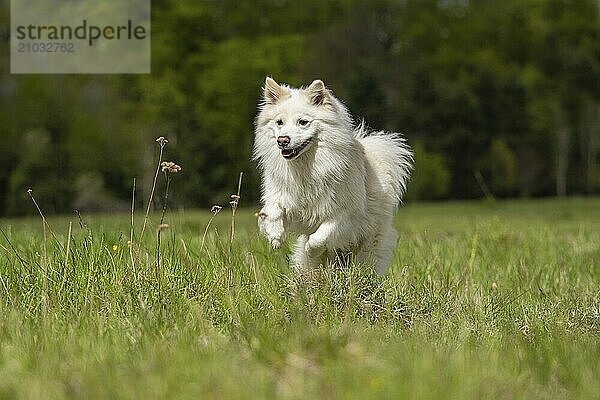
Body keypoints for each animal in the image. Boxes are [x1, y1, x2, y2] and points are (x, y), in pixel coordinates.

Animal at [253, 76, 412, 274]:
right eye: (279, 122)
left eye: (303, 122)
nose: (282, 141)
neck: (305, 167)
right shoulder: (284, 198)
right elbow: (272, 210)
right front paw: (275, 236)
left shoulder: (343, 216)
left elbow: (321, 236)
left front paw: (311, 248)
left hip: (369, 245)